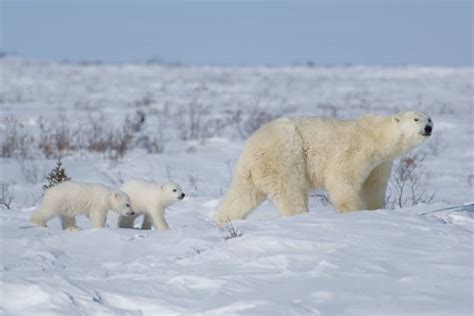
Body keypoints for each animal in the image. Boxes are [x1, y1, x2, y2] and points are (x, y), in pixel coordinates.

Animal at [215, 111, 434, 225]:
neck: (377, 135)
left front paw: (377, 210)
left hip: (253, 170)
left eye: (429, 118)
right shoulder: (357, 150)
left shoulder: (380, 164)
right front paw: (354, 212)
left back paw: (223, 220)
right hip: (285, 156)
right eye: (416, 119)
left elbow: (374, 187)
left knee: (242, 194)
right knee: (291, 191)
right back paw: (301, 217)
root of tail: (251, 147)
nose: (428, 128)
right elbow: (343, 181)